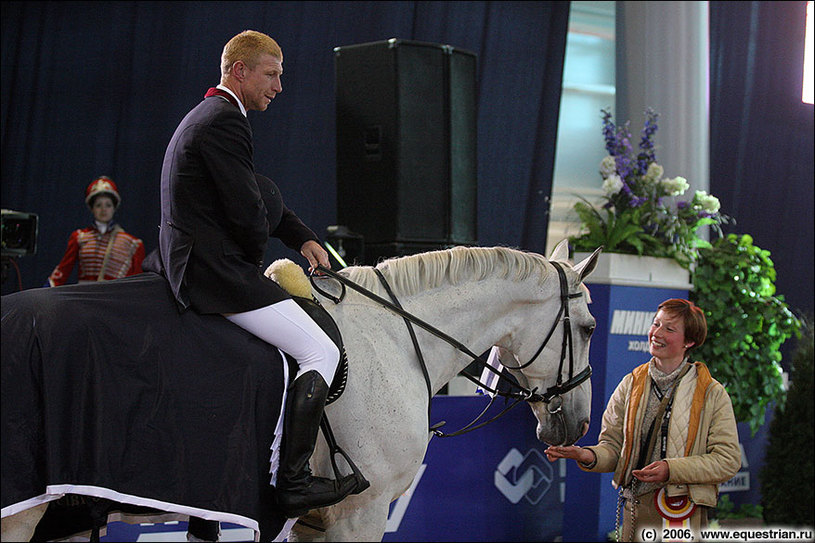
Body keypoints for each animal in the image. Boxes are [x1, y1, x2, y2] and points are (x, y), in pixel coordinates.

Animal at [0, 240, 600, 540]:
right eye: (591, 328)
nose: (576, 425)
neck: (396, 336)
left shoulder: (314, 524)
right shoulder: (361, 514)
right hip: (22, 512)